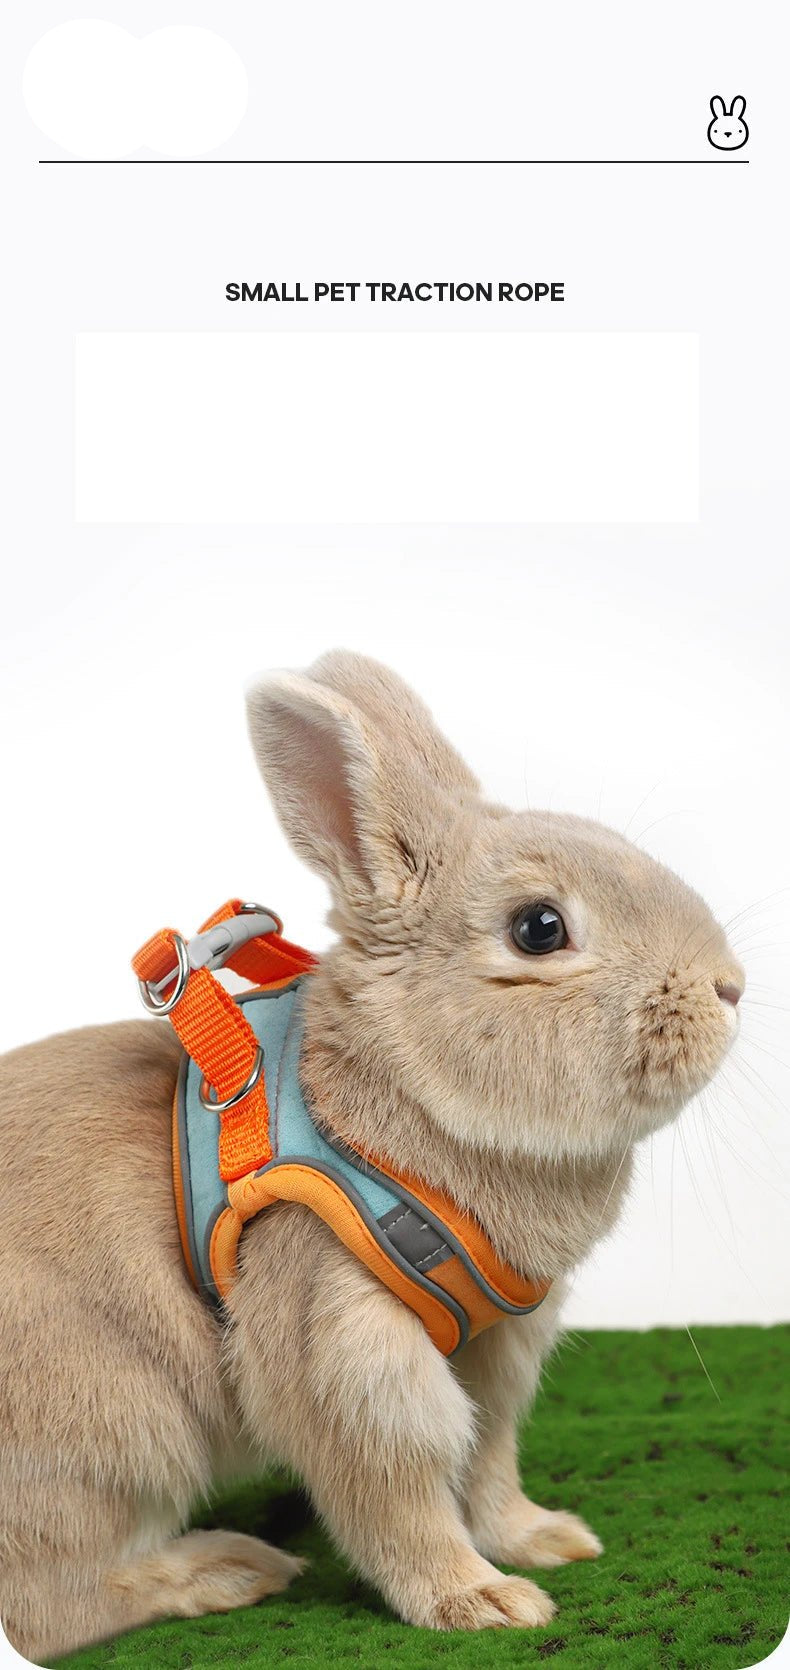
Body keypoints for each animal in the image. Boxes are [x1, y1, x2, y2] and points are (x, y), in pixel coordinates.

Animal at [0, 651, 745, 1661]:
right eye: (539, 929)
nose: (731, 987)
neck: (392, 1098)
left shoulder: (492, 1343)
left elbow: (488, 1456)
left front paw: (544, 1540)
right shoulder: (342, 1332)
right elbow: (395, 1490)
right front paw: (481, 1602)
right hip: (111, 1437)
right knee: (55, 1600)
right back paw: (226, 1570)